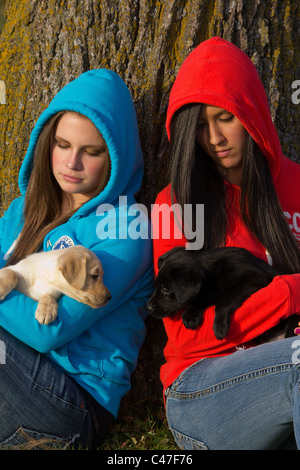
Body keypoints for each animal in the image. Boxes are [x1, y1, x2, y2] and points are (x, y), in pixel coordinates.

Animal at [146, 246, 296, 342]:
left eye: (165, 289)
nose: (148, 307)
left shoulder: (251, 280)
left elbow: (223, 302)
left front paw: (219, 327)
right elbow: (201, 299)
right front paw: (191, 316)